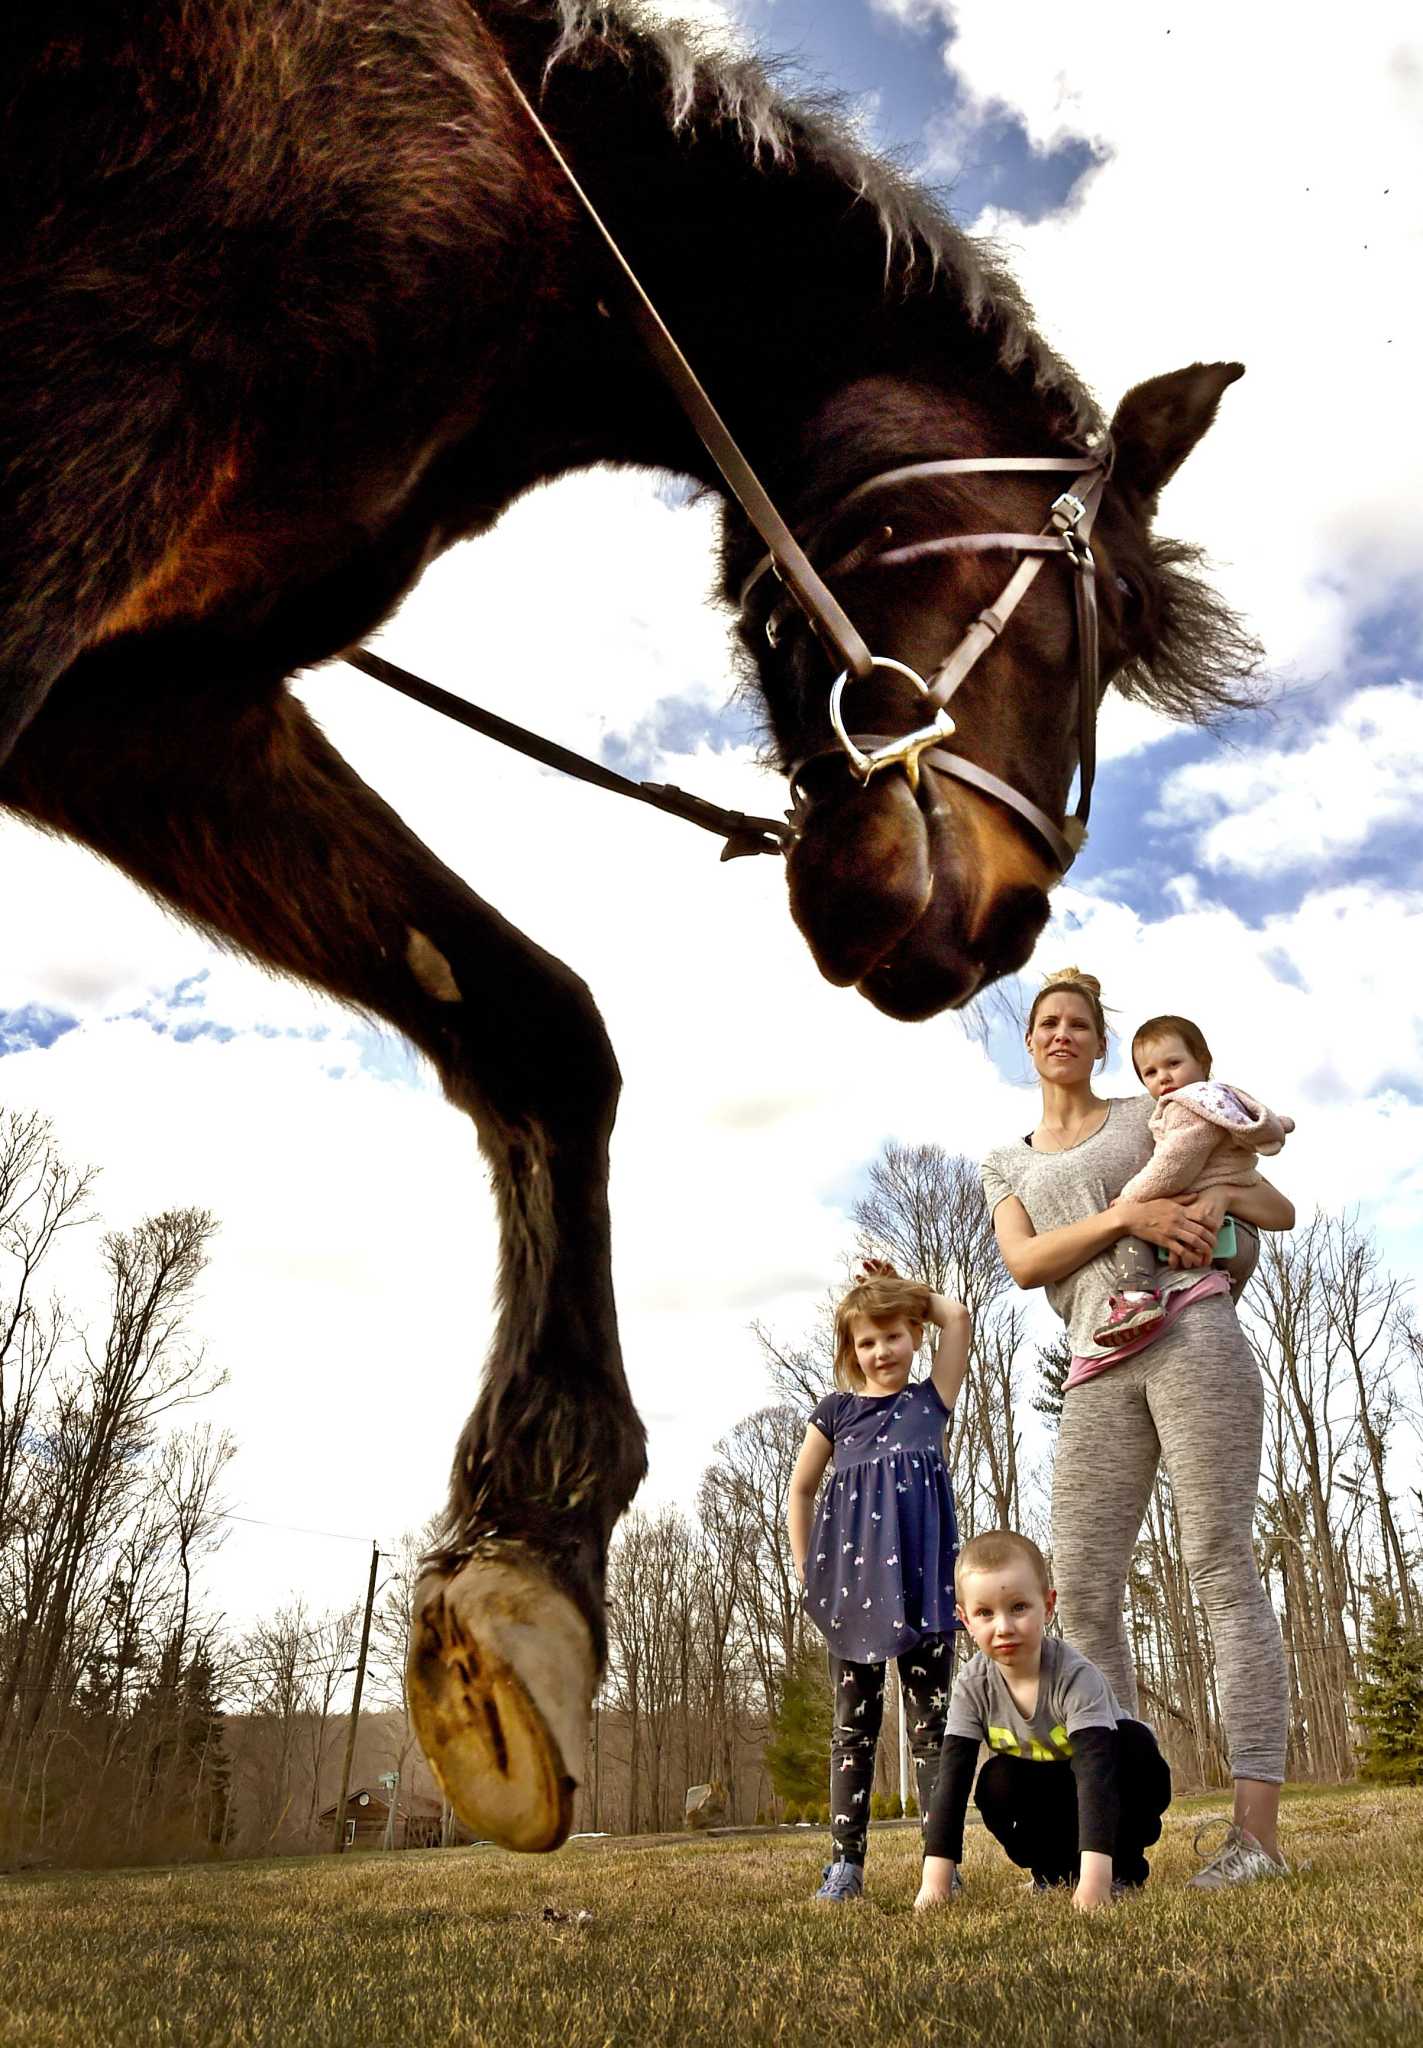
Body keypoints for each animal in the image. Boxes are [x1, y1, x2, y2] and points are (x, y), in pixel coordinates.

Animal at [0, 1, 1260, 1850]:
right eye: (1087, 614)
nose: (1004, 926)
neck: (535, 195)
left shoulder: (153, 702)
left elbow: (537, 1024)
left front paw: (526, 1546)